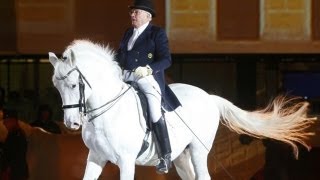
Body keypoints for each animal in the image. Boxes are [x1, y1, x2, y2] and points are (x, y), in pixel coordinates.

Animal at [48, 39, 316, 180]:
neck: (107, 113)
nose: (71, 124)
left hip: (198, 150)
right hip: (182, 155)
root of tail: (209, 97)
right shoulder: (96, 156)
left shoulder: (126, 160)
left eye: (74, 85)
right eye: (56, 87)